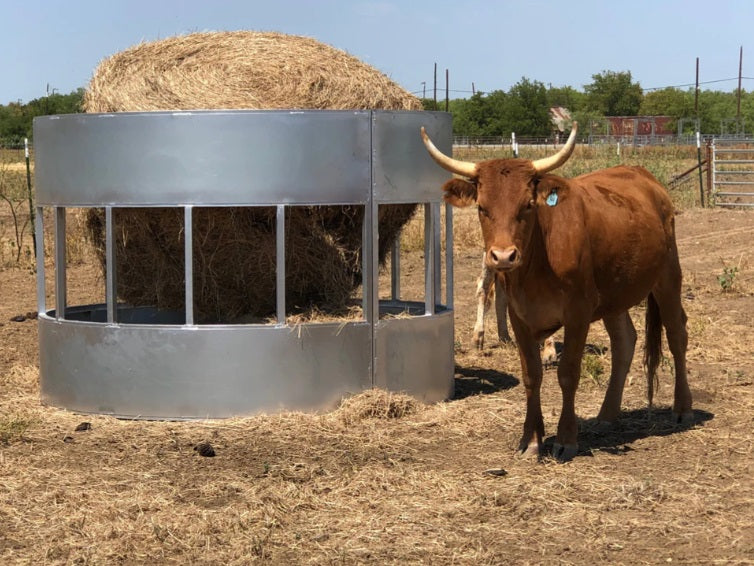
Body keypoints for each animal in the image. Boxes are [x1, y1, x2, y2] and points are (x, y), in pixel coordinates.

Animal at [420, 123, 692, 462]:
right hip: (614, 295)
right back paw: (607, 414)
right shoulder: (520, 316)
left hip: (668, 276)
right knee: (625, 341)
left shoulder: (578, 312)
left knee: (677, 335)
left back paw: (682, 408)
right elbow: (531, 374)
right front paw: (531, 439)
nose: (503, 256)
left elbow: (568, 373)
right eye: (482, 208)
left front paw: (566, 438)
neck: (537, 261)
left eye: (527, 205)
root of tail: (645, 177)